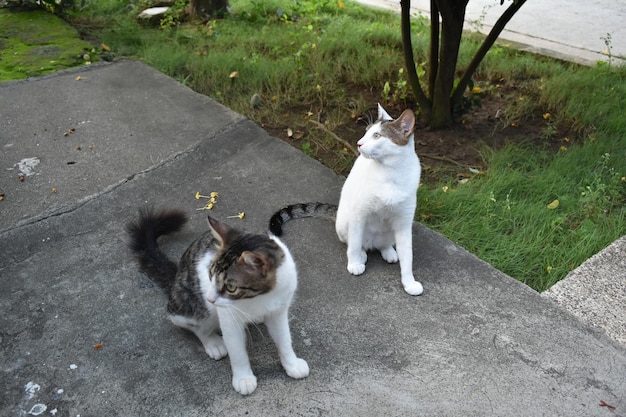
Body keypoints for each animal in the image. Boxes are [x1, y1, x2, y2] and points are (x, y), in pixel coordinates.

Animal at [127, 208, 310, 394]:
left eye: (231, 287)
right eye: (210, 274)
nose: (210, 298)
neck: (260, 297)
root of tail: (176, 279)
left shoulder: (279, 308)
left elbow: (284, 338)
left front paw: (291, 364)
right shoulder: (228, 318)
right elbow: (237, 350)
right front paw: (243, 378)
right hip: (189, 304)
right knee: (194, 325)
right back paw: (212, 342)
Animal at [270, 104, 424, 296]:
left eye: (377, 135)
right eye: (366, 132)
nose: (359, 143)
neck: (390, 172)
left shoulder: (404, 223)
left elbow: (408, 256)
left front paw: (409, 283)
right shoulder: (359, 213)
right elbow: (355, 243)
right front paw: (354, 263)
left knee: (383, 244)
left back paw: (388, 251)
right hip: (345, 221)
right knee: (354, 242)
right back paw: (362, 254)